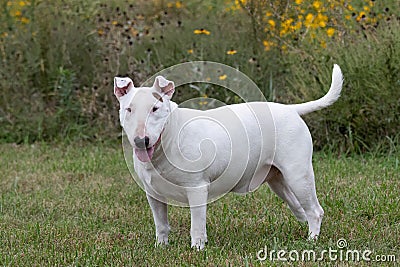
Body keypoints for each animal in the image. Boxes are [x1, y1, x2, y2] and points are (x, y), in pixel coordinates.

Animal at [113, 63, 344, 250]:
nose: (141, 141)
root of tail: (291, 110)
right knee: (299, 207)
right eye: (129, 109)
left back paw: (312, 241)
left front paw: (198, 249)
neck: (167, 141)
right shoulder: (153, 193)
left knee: (315, 210)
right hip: (278, 179)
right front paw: (161, 247)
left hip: (298, 174)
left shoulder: (196, 188)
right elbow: (161, 224)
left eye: (155, 108)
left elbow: (197, 224)